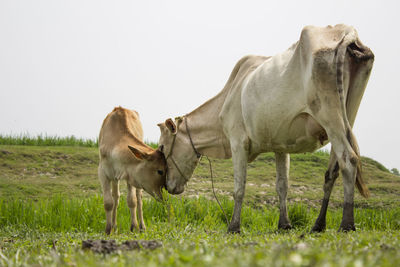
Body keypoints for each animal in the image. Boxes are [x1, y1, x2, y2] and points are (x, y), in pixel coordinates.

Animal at [158, 25, 374, 234]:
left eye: (162, 147)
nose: (167, 186)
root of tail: (346, 32)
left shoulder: (238, 141)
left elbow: (239, 188)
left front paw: (234, 226)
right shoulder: (281, 145)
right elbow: (282, 186)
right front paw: (284, 224)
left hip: (330, 115)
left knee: (348, 159)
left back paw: (346, 224)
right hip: (348, 115)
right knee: (332, 171)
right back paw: (318, 225)